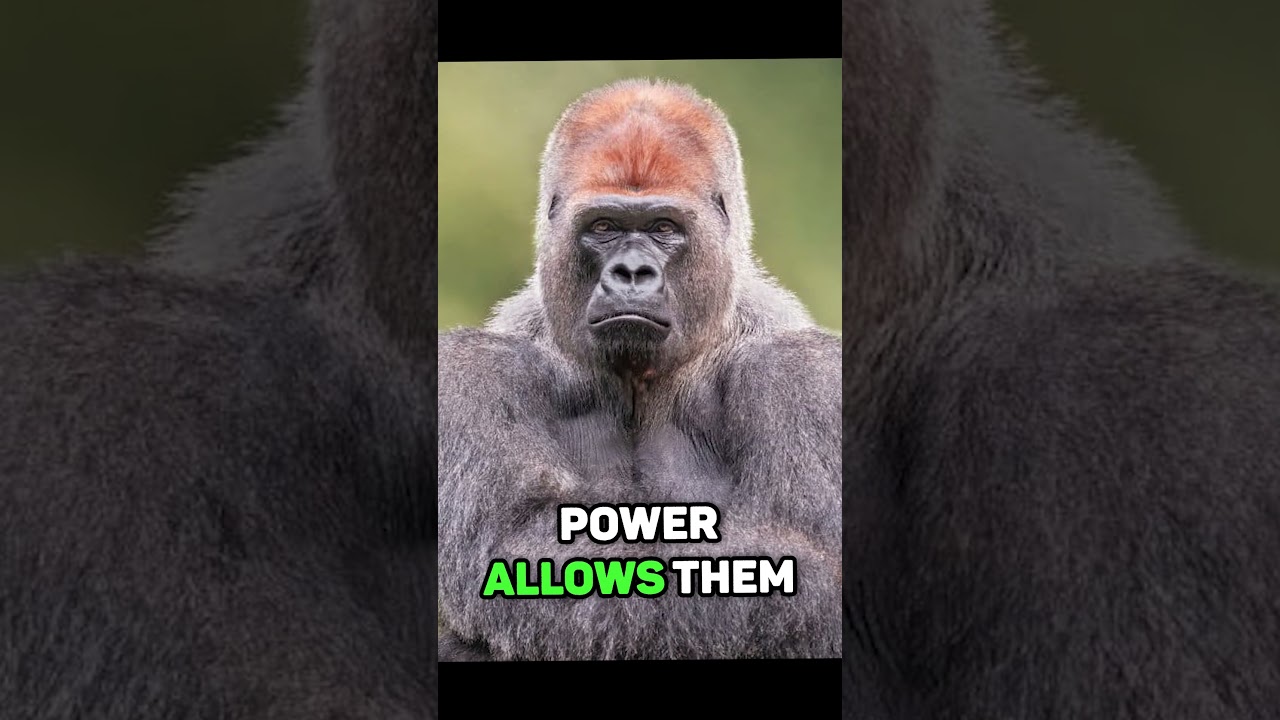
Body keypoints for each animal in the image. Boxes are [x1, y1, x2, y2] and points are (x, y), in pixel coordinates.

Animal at [437, 79, 841, 661]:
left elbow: (813, 564)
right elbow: (513, 543)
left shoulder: (803, 376)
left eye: (663, 227)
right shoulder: (469, 373)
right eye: (603, 227)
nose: (632, 272)